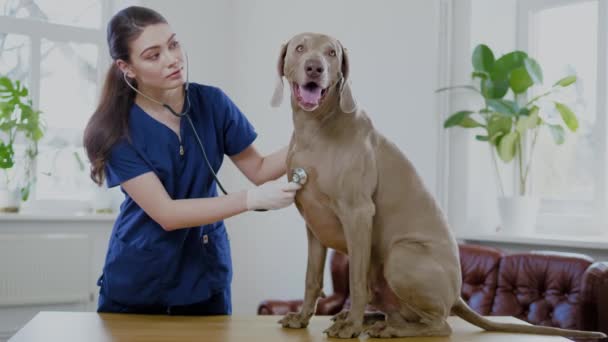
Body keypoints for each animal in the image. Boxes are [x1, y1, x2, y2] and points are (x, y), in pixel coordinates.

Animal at [272, 31, 608, 340]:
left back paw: (383, 327)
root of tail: (458, 294)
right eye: (300, 47)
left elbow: (354, 279)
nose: (315, 67)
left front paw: (351, 326)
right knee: (405, 312)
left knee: (439, 324)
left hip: (400, 256)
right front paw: (302, 318)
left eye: (331, 53)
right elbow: (312, 278)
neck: (316, 129)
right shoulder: (314, 225)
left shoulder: (358, 214)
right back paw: (375, 319)